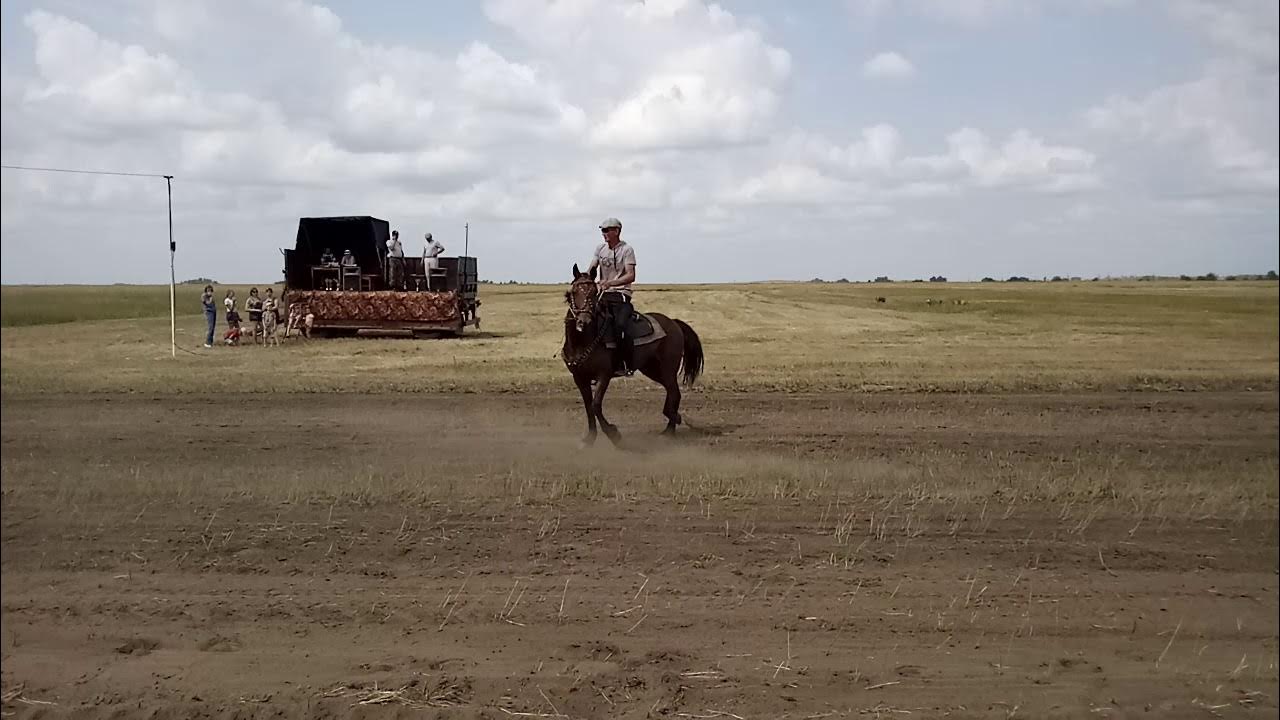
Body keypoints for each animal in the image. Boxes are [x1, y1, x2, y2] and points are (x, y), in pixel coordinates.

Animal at [565, 260, 706, 445]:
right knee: (671, 392)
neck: (584, 341)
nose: (584, 321)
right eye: (575, 291)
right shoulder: (579, 378)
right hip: (652, 369)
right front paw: (590, 438)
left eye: (595, 292)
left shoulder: (604, 375)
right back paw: (674, 419)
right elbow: (589, 406)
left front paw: (614, 434)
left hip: (668, 368)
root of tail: (674, 323)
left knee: (675, 393)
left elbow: (595, 405)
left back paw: (669, 430)